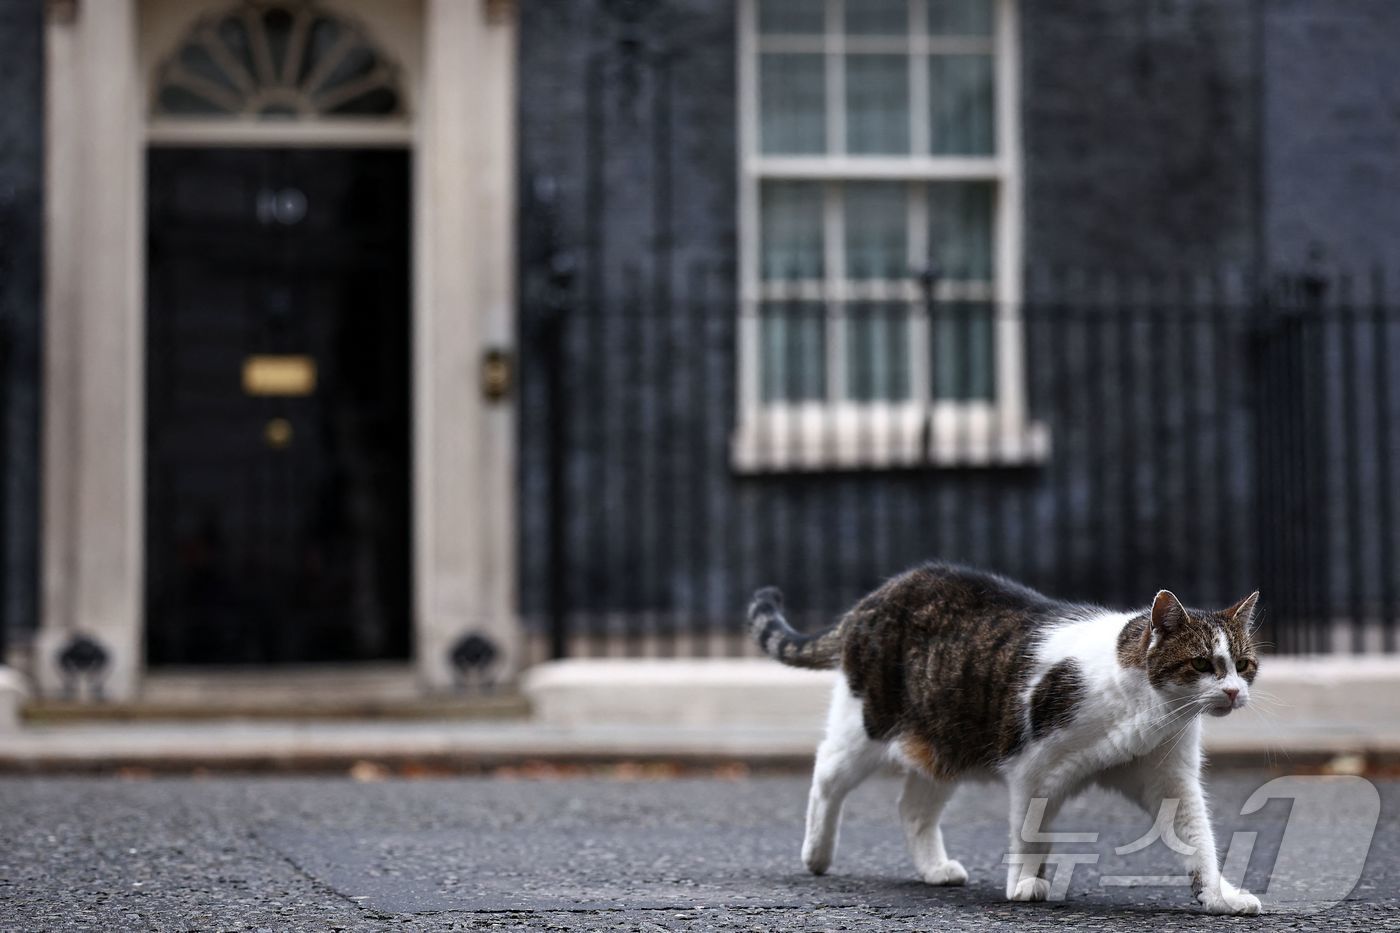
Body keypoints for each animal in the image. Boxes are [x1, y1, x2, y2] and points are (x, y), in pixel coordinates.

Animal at [750, 563, 1265, 913]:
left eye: (1244, 665)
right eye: (1202, 664)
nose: (1234, 692)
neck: (1147, 711)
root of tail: (878, 594)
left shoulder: (1169, 779)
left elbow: (1197, 837)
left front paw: (1220, 896)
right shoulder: (1032, 768)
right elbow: (1028, 829)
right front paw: (1024, 885)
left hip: (944, 744)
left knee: (913, 808)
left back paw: (934, 869)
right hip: (867, 726)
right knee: (826, 775)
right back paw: (816, 854)